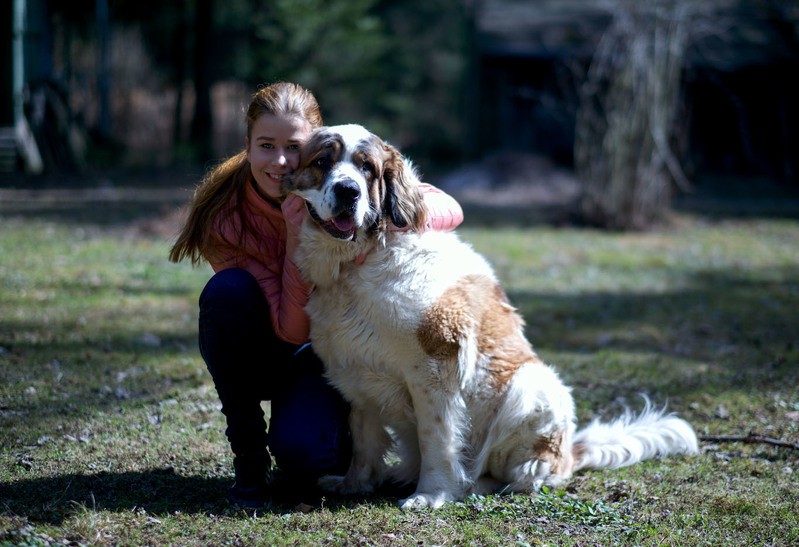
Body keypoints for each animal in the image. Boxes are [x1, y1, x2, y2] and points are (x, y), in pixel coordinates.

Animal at [284, 124, 696, 510]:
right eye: (322, 162)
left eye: (366, 168)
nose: (348, 191)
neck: (354, 265)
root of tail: (568, 454)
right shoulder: (355, 369)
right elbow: (364, 437)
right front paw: (355, 483)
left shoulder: (436, 369)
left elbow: (437, 438)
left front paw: (431, 494)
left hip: (531, 387)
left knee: (525, 473)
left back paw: (474, 483)